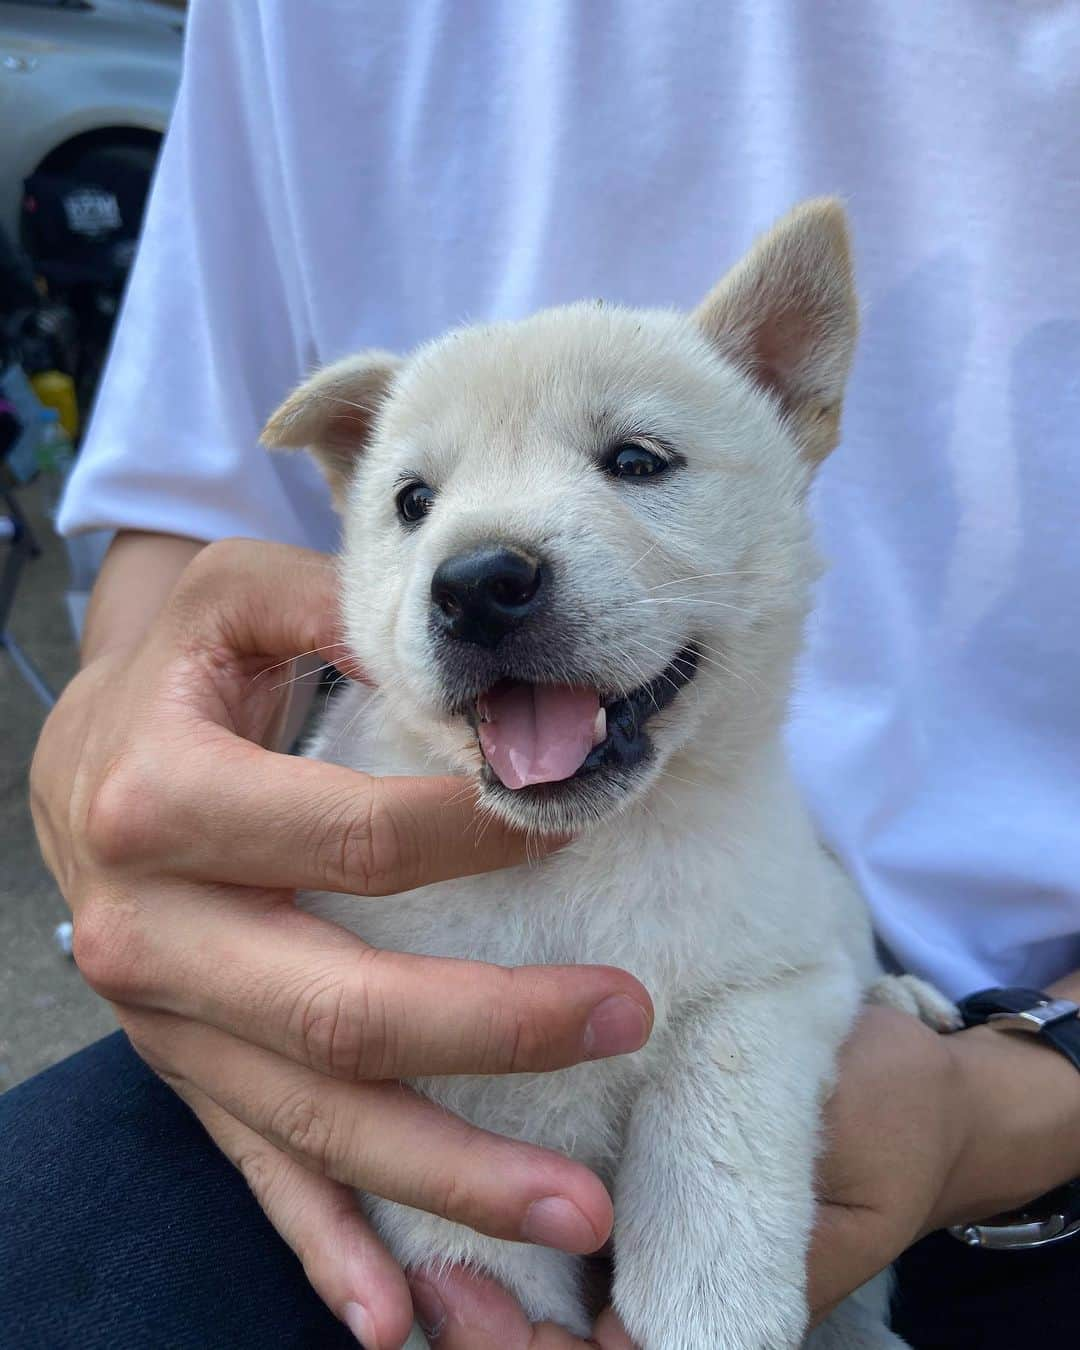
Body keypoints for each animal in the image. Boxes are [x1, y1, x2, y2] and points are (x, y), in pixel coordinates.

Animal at [265, 202, 955, 1350]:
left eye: (637, 460)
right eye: (413, 502)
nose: (476, 582)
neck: (574, 864)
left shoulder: (778, 974)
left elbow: (716, 1113)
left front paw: (709, 1303)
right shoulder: (412, 1090)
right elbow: (469, 1244)